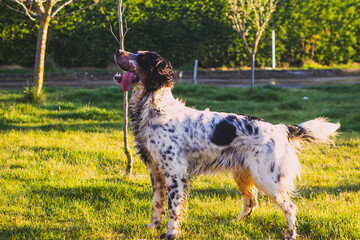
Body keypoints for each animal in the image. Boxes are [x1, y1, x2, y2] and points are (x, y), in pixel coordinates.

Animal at [113, 49, 340, 239]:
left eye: (142, 57)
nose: (117, 50)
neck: (154, 109)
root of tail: (281, 128)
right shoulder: (156, 171)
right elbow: (157, 203)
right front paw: (153, 226)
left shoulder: (175, 173)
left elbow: (173, 208)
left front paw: (170, 233)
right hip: (243, 175)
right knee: (251, 203)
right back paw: (233, 224)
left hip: (266, 179)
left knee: (289, 207)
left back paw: (290, 235)